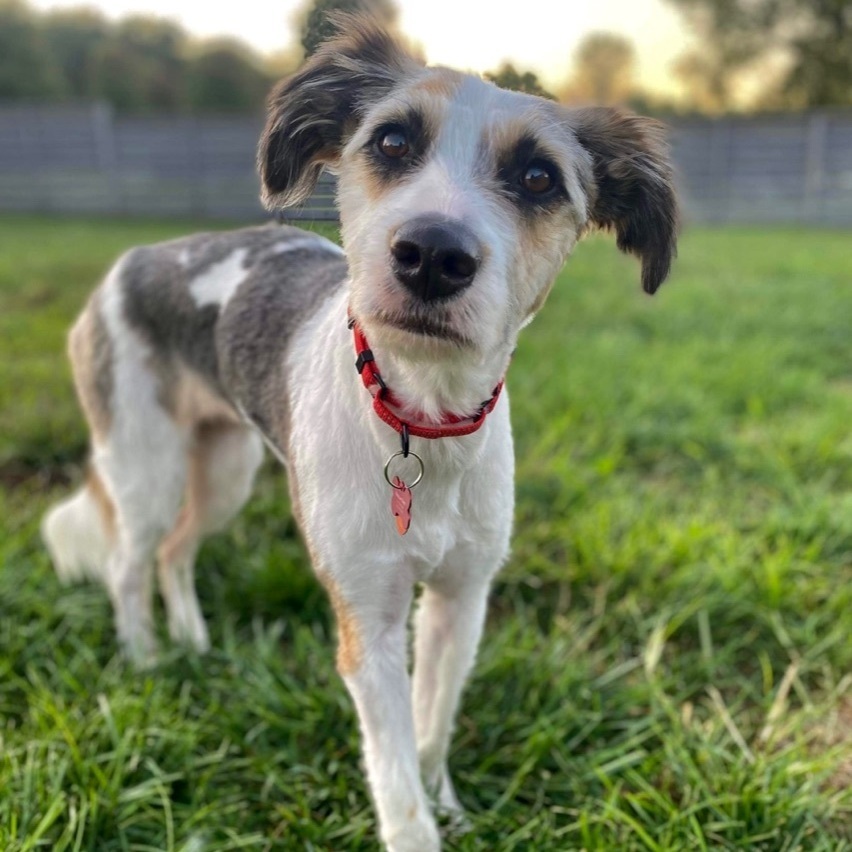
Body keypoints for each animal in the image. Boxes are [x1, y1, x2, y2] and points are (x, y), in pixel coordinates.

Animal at [43, 15, 680, 852]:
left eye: (540, 178)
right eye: (392, 141)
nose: (433, 254)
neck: (422, 424)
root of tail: (128, 264)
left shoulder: (461, 599)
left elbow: (431, 731)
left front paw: (449, 804)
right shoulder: (367, 619)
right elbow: (396, 779)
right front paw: (423, 821)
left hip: (225, 468)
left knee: (177, 551)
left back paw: (193, 644)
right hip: (145, 464)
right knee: (127, 563)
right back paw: (146, 660)